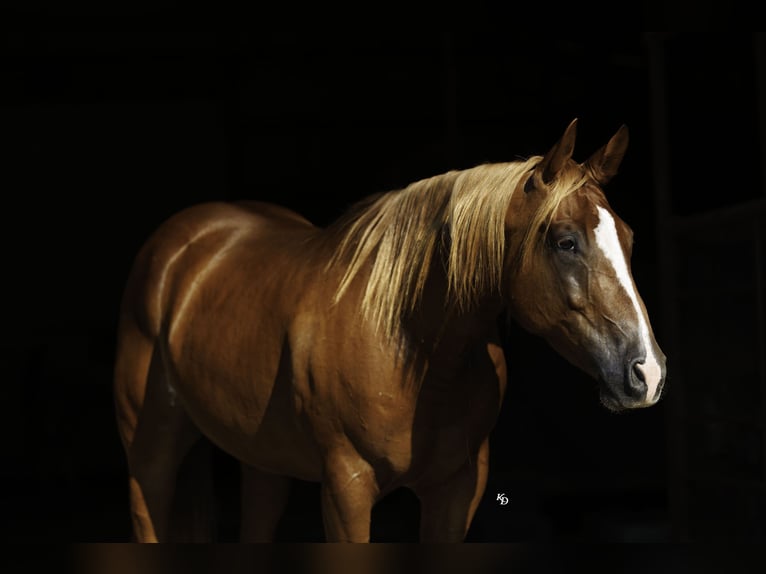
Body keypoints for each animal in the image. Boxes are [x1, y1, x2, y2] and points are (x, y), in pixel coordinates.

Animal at [113, 119, 666, 542]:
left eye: (628, 238)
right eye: (565, 242)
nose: (648, 373)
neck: (410, 349)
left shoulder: (457, 491)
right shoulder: (347, 490)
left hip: (262, 460)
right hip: (150, 449)